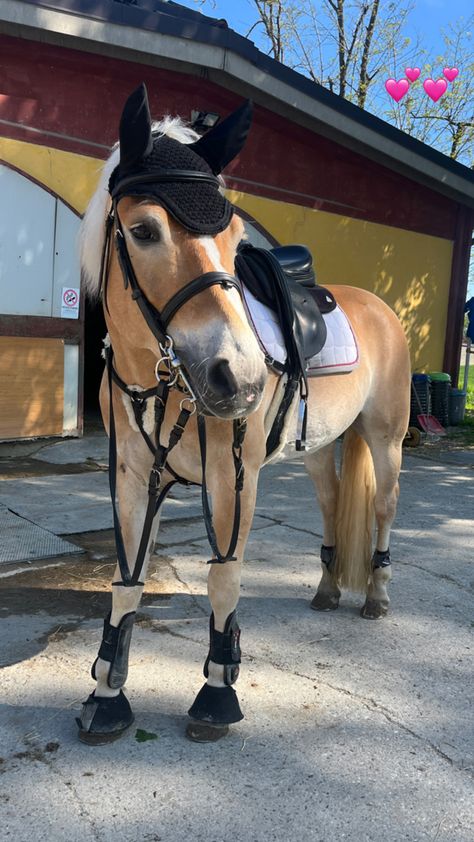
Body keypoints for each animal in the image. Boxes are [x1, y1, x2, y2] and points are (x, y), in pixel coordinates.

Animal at [78, 83, 412, 740]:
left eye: (236, 241)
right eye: (144, 230)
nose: (240, 377)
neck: (158, 379)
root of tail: (380, 308)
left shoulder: (233, 478)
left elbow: (223, 578)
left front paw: (216, 692)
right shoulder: (132, 477)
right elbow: (127, 582)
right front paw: (107, 694)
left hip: (386, 441)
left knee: (383, 510)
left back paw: (377, 596)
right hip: (319, 451)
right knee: (333, 506)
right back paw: (328, 588)